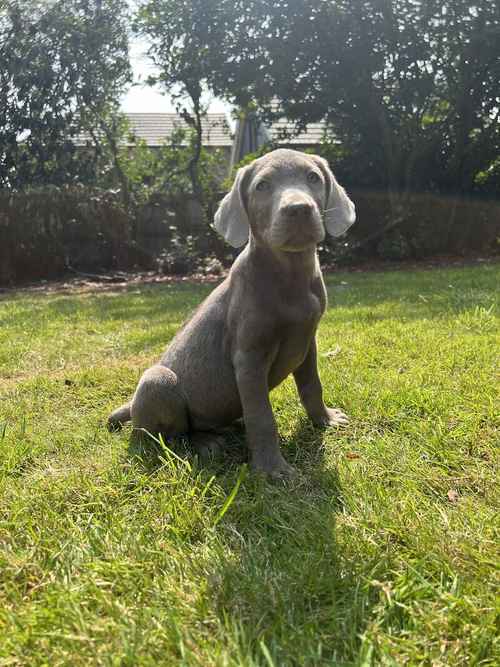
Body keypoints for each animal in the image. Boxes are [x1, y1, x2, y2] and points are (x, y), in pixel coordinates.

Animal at [108, 149, 356, 478]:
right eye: (262, 186)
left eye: (313, 178)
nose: (299, 209)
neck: (290, 276)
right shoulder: (248, 357)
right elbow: (261, 416)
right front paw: (271, 469)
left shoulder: (307, 342)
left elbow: (312, 385)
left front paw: (324, 419)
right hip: (157, 380)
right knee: (167, 436)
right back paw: (204, 443)